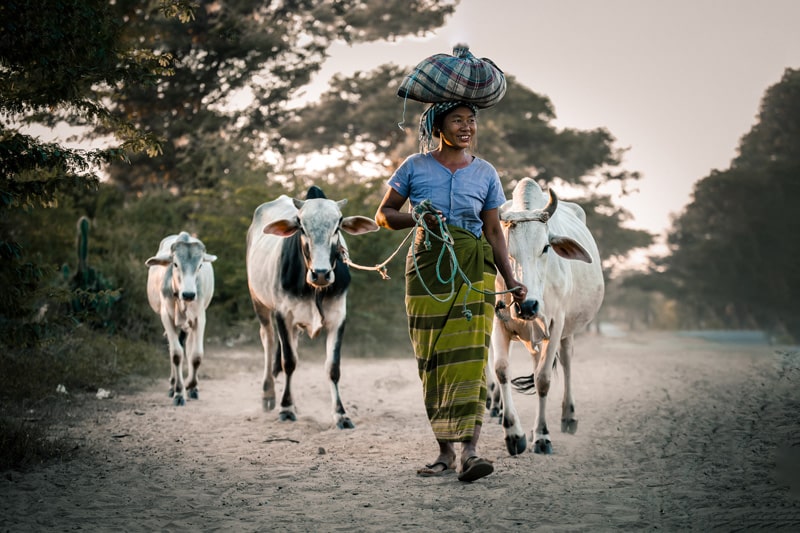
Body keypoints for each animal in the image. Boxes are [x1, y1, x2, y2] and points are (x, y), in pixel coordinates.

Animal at [145, 231, 216, 406]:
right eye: (175, 264)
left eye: (200, 265)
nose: (189, 294)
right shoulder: (167, 317)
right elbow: (176, 354)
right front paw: (178, 392)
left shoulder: (199, 318)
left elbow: (196, 355)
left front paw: (191, 386)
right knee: (175, 347)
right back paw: (172, 386)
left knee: (189, 348)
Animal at [245, 186, 380, 428]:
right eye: (301, 226)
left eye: (338, 225)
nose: (321, 273)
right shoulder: (283, 315)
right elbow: (288, 362)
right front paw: (286, 409)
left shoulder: (338, 318)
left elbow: (332, 368)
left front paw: (341, 414)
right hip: (259, 302)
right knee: (268, 342)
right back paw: (269, 395)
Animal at [490, 178, 604, 454]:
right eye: (506, 251)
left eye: (545, 248)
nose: (527, 306)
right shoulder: (498, 322)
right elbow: (501, 370)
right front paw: (514, 434)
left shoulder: (556, 323)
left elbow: (543, 380)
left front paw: (542, 436)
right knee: (535, 361)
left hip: (567, 330)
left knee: (566, 361)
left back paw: (568, 417)